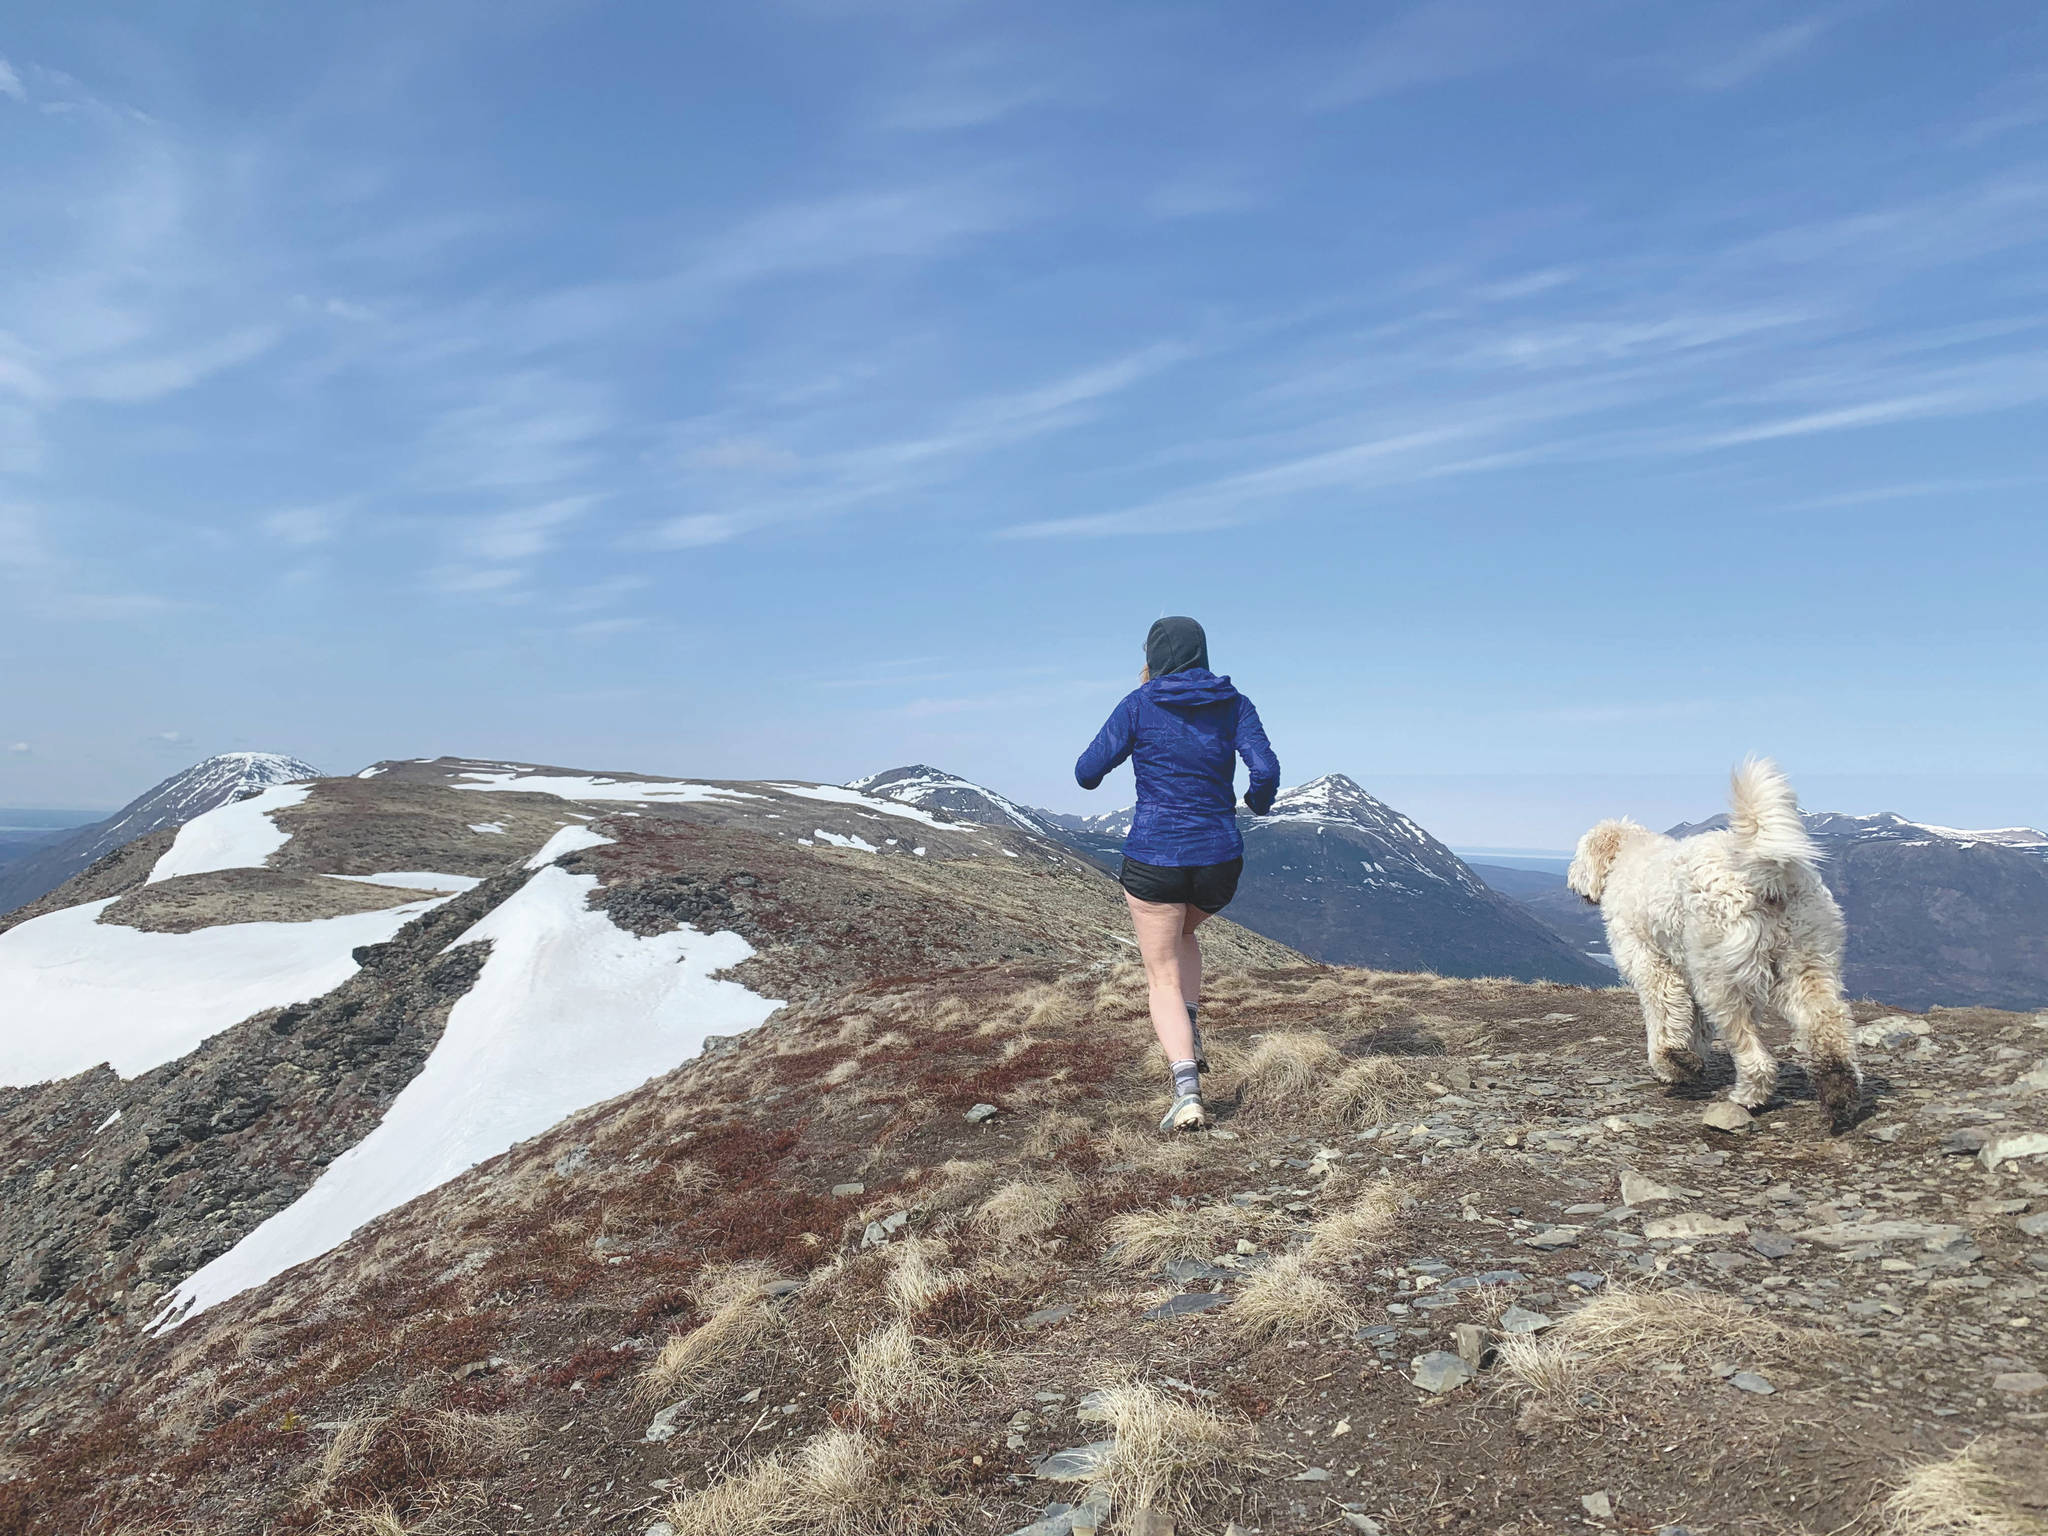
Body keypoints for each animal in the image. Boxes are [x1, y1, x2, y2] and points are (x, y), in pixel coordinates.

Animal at [1564, 761, 1875, 1130]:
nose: (1569, 880)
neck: (1630, 856)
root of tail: (1769, 874)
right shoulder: (1683, 967)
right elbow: (1692, 1023)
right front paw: (1690, 1061)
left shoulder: (1652, 964)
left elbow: (1664, 1015)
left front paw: (1671, 1063)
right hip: (1807, 962)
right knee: (1827, 1022)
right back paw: (1839, 1091)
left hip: (1723, 979)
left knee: (1753, 1052)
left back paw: (1749, 1096)